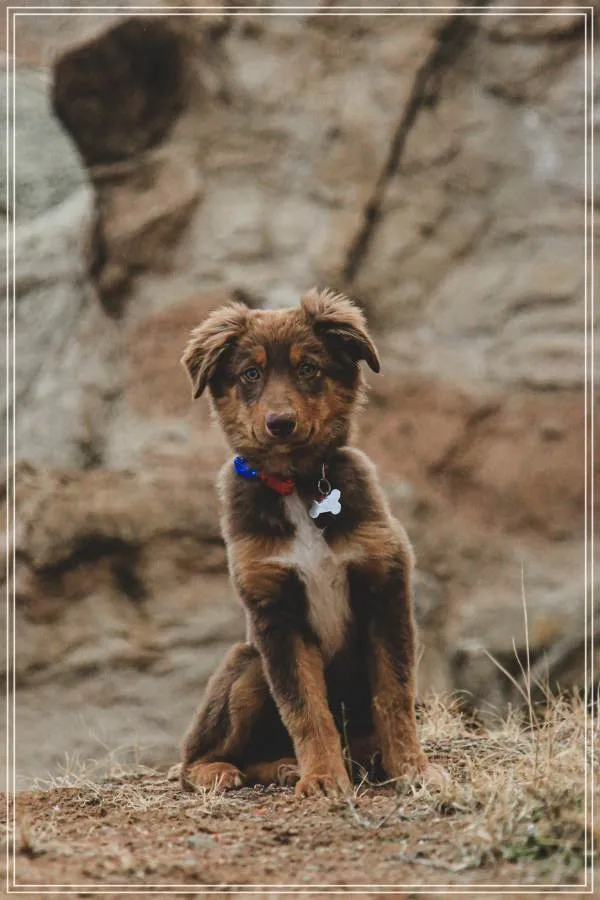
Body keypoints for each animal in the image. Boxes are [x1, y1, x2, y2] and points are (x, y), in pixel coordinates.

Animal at [178, 288, 428, 798]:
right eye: (250, 373)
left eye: (308, 368)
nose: (280, 423)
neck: (294, 484)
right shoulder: (276, 616)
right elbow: (305, 708)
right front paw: (324, 779)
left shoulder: (385, 591)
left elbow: (394, 694)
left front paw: (410, 768)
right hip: (247, 666)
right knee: (192, 757)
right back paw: (227, 771)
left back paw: (304, 765)